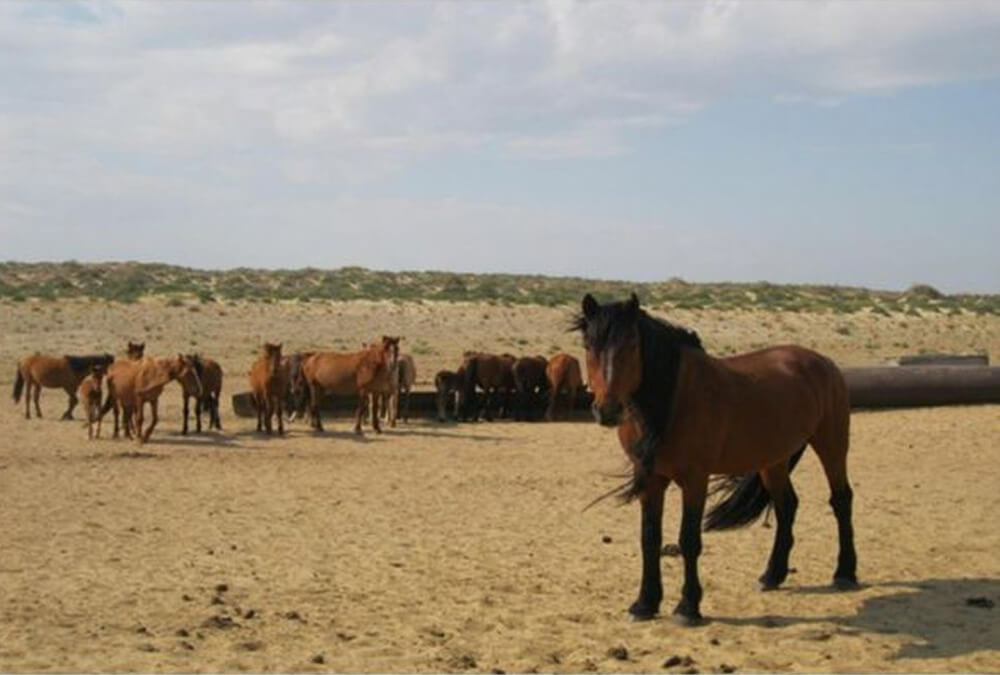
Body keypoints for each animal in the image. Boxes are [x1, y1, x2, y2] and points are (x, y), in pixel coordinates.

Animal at [576, 294, 856, 624]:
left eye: (632, 343)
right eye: (588, 345)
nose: (607, 410)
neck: (674, 397)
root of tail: (823, 362)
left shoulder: (695, 480)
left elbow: (688, 540)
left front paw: (688, 607)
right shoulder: (651, 479)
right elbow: (649, 538)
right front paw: (645, 603)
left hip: (831, 444)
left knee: (841, 500)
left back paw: (845, 573)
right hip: (773, 460)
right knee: (787, 505)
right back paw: (772, 575)